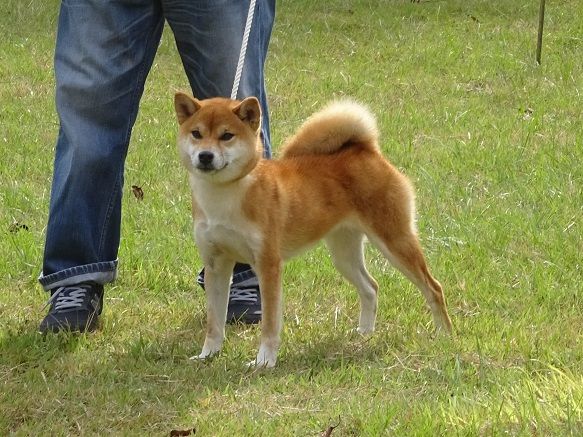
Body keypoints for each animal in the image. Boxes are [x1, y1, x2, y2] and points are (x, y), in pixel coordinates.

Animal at [174, 93, 453, 367]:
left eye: (227, 135)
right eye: (196, 133)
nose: (205, 156)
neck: (223, 197)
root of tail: (366, 149)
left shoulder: (268, 265)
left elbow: (270, 324)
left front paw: (264, 361)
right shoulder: (215, 264)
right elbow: (214, 323)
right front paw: (208, 355)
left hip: (395, 241)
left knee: (434, 287)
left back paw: (444, 334)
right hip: (343, 254)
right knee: (371, 287)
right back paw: (364, 333)